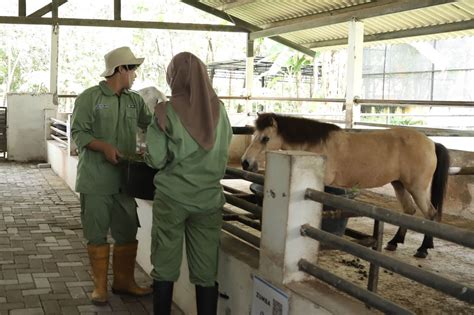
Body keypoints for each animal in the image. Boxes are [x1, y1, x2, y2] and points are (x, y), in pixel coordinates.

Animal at [243, 113, 450, 260]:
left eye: (265, 138)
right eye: (254, 135)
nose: (245, 163)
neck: (317, 147)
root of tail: (432, 143)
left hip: (417, 188)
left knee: (430, 213)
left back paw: (423, 249)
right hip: (399, 184)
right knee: (410, 211)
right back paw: (394, 242)